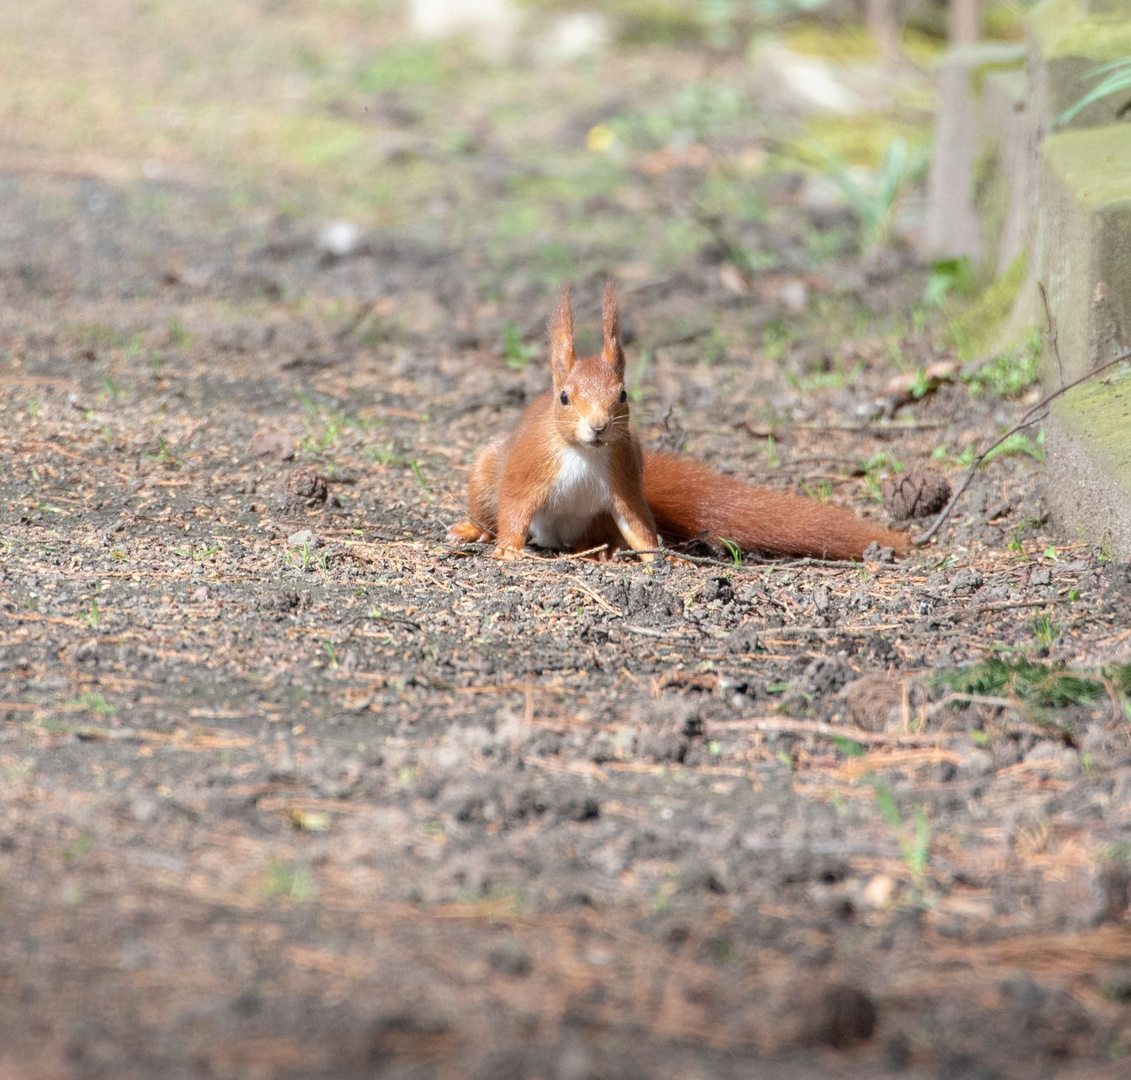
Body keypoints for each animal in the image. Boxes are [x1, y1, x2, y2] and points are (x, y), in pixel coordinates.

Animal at [450, 282, 909, 560]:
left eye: (623, 395)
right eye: (564, 398)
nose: (598, 427)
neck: (584, 454)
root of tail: (558, 540)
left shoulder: (624, 480)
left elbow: (639, 524)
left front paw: (662, 557)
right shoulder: (529, 469)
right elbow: (514, 507)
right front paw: (508, 550)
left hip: (596, 519)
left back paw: (605, 552)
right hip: (485, 475)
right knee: (489, 512)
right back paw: (475, 532)